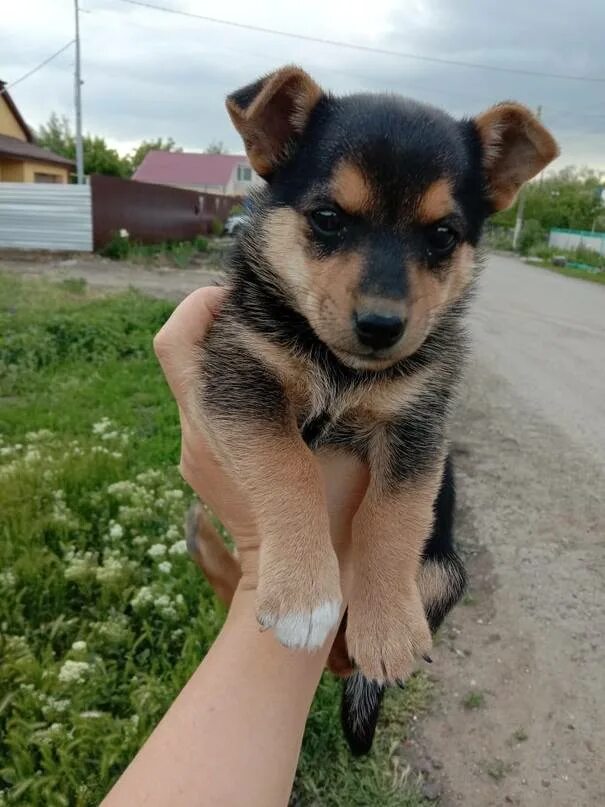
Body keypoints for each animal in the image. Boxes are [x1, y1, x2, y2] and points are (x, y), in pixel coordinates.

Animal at [188, 66, 556, 756]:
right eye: (328, 218)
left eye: (443, 236)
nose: (382, 327)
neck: (343, 371)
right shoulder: (240, 375)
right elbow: (288, 466)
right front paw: (304, 593)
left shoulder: (418, 422)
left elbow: (392, 516)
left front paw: (386, 627)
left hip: (442, 573)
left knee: (342, 659)